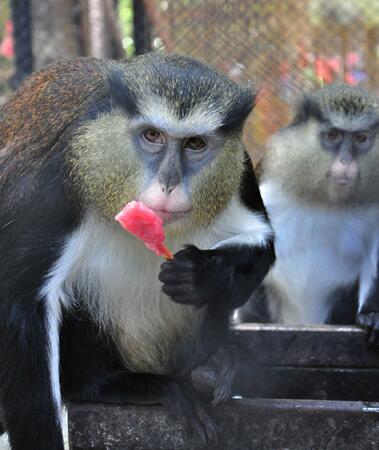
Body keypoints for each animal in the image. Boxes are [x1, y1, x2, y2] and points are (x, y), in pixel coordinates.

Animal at [0, 51, 274, 446]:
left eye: (195, 144)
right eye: (152, 135)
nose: (169, 183)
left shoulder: (240, 170)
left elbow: (263, 243)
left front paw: (201, 274)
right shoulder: (56, 182)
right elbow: (23, 301)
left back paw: (214, 365)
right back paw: (116, 385)